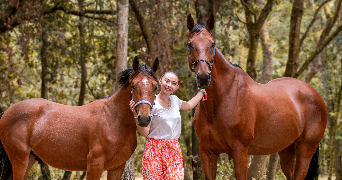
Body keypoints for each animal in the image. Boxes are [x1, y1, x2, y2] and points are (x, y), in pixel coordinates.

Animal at [0, 56, 160, 180]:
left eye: (155, 87)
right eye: (133, 86)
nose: (144, 118)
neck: (113, 120)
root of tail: (7, 112)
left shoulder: (116, 168)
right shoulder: (95, 165)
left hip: (29, 159)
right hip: (20, 160)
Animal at [187, 14, 328, 180]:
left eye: (212, 43)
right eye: (190, 44)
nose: (203, 77)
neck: (224, 99)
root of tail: (315, 94)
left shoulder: (240, 152)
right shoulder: (207, 152)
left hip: (305, 150)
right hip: (287, 150)